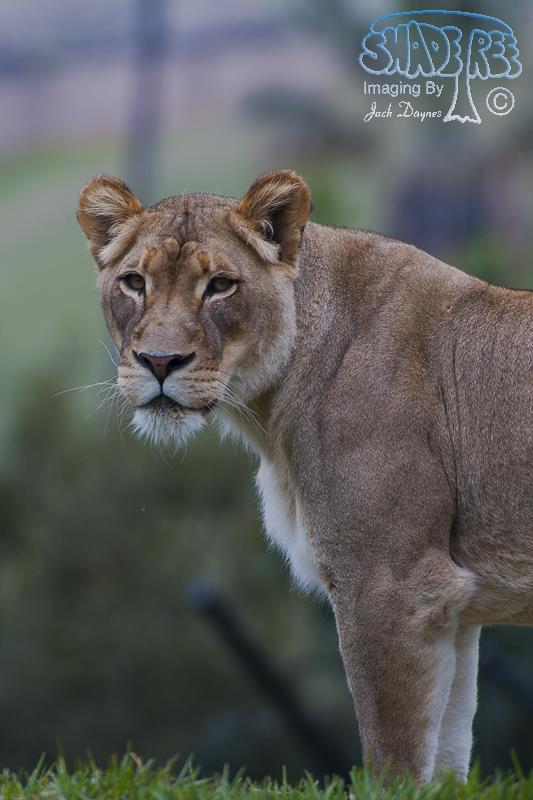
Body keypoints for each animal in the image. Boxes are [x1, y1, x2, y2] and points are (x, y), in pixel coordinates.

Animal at [77, 170, 533, 783]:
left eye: (221, 286)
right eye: (133, 282)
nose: (159, 362)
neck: (268, 413)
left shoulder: (393, 587)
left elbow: (394, 759)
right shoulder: (454, 609)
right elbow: (445, 758)